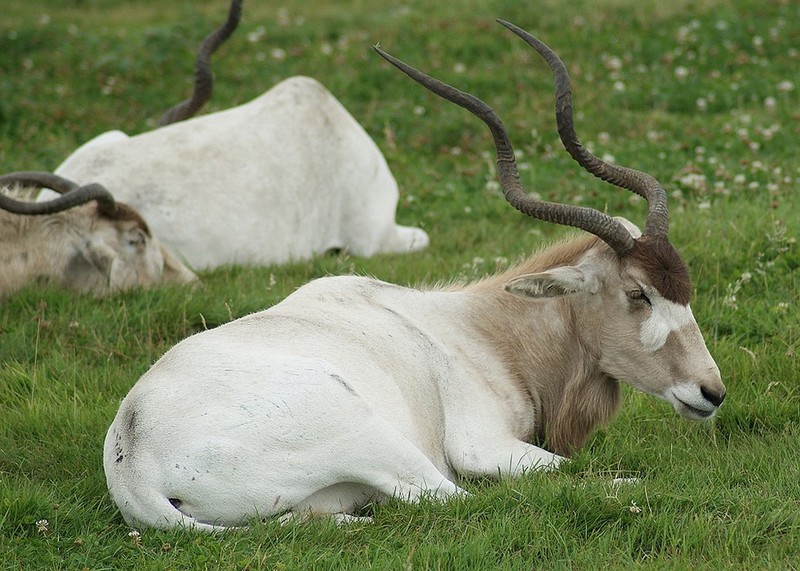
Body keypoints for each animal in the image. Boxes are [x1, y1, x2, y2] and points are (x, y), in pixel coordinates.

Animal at [101, 21, 724, 532]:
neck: (483, 330)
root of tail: (135, 460)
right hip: (367, 428)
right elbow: (571, 473)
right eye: (638, 293)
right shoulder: (483, 445)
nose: (711, 392)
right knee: (448, 497)